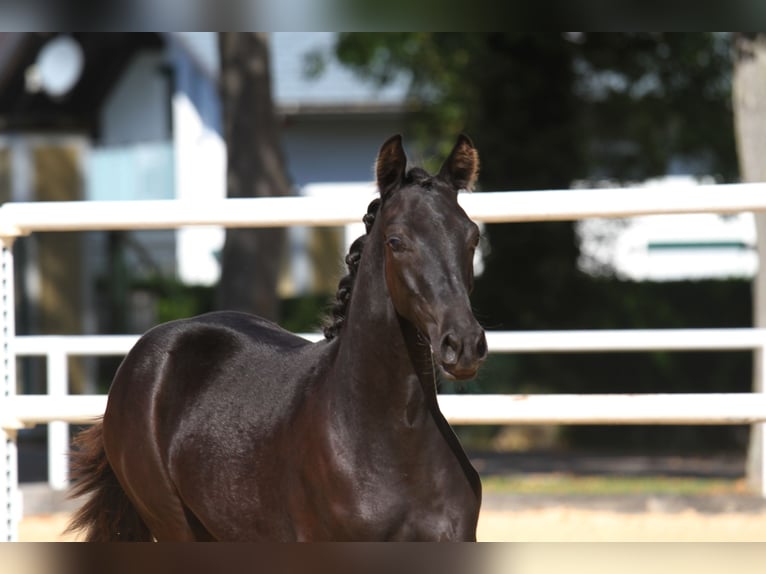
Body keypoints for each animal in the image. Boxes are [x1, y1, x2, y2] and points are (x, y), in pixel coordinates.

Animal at [67, 134, 488, 541]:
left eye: (472, 237)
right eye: (396, 241)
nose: (463, 344)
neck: (393, 436)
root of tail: (140, 356)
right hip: (173, 524)